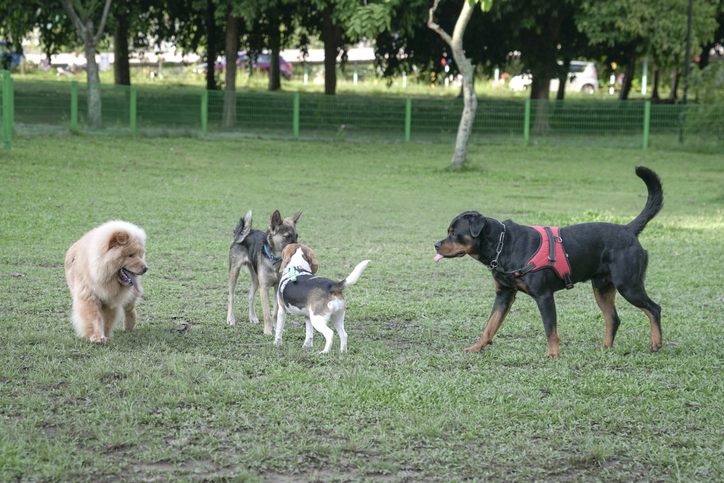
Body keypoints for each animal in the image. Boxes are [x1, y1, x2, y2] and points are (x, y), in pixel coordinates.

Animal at [432, 167, 664, 360]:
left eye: (455, 234)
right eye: (448, 232)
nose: (436, 245)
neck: (503, 244)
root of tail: (628, 229)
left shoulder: (544, 296)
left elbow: (549, 329)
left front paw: (553, 354)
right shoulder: (504, 295)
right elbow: (490, 325)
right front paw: (476, 347)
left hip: (628, 285)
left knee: (654, 308)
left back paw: (656, 342)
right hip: (602, 288)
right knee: (613, 319)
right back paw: (606, 347)